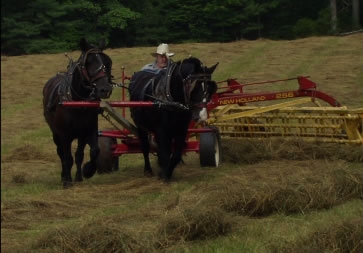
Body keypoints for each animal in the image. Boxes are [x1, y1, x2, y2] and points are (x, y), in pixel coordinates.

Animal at [43, 38, 114, 188]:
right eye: (89, 63)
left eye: (108, 62)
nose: (105, 89)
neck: (78, 102)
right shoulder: (64, 134)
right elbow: (67, 157)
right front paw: (68, 181)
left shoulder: (87, 130)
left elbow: (90, 152)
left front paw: (85, 172)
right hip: (55, 133)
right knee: (60, 153)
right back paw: (63, 176)